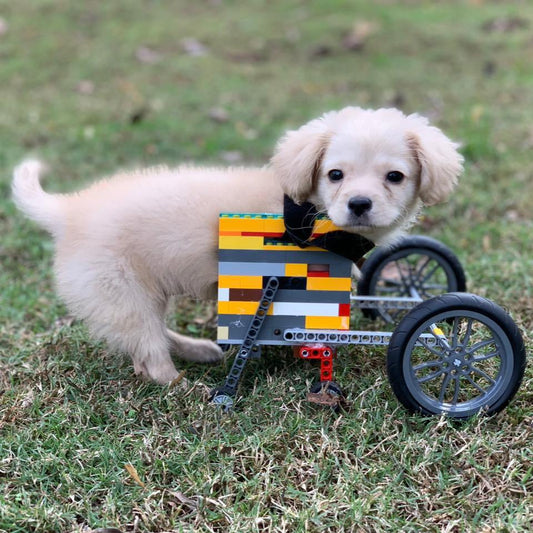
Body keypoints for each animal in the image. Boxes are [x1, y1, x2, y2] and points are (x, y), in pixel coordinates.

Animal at [11, 107, 462, 382]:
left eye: (395, 177)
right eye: (335, 174)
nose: (359, 204)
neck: (307, 211)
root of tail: (68, 210)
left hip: (143, 295)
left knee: (150, 339)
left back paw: (198, 351)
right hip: (123, 294)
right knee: (149, 352)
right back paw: (181, 384)